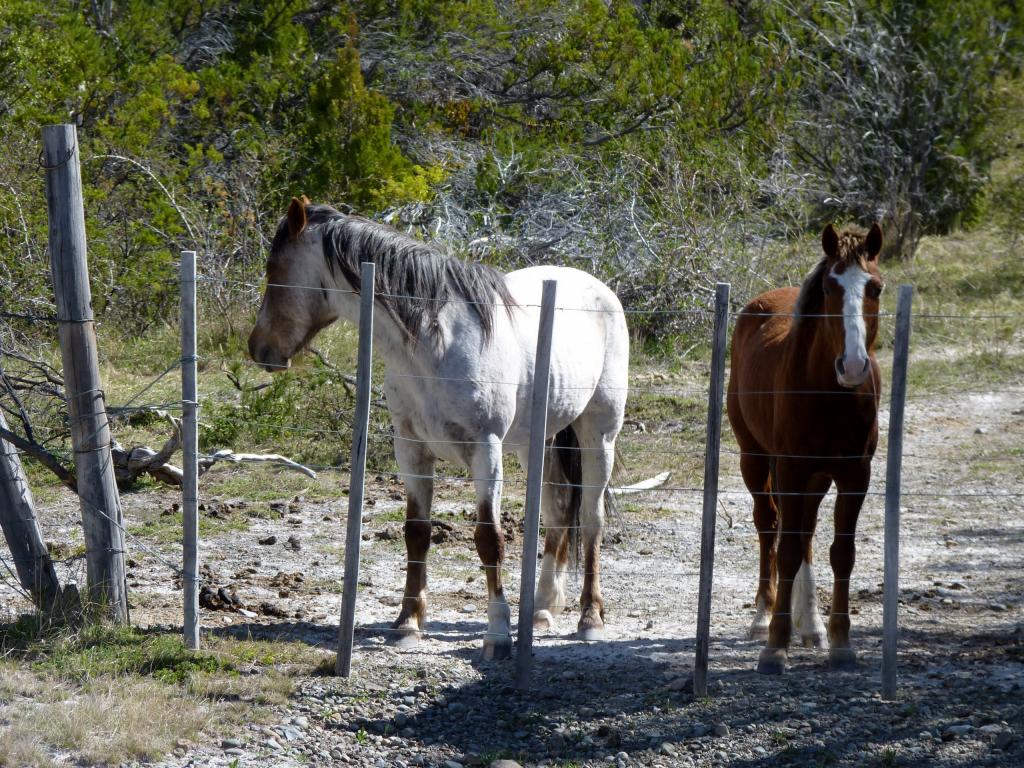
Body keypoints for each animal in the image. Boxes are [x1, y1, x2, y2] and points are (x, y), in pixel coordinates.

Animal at [249, 198, 630, 663]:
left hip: (599, 436)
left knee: (591, 521)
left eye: (274, 269)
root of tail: (600, 289)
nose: (258, 348)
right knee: (558, 512)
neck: (435, 345)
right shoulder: (412, 449)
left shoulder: (486, 451)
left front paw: (497, 634)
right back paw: (540, 609)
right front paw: (408, 623)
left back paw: (590, 618)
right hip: (535, 442)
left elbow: (489, 539)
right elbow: (417, 534)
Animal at [724, 222, 884, 671]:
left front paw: (841, 642)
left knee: (806, 530)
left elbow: (841, 552)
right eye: (829, 288)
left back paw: (810, 626)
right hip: (756, 459)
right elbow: (788, 551)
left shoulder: (854, 475)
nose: (852, 366)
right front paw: (775, 646)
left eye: (876, 287)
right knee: (769, 525)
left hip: (814, 476)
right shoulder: (792, 468)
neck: (828, 395)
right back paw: (763, 618)